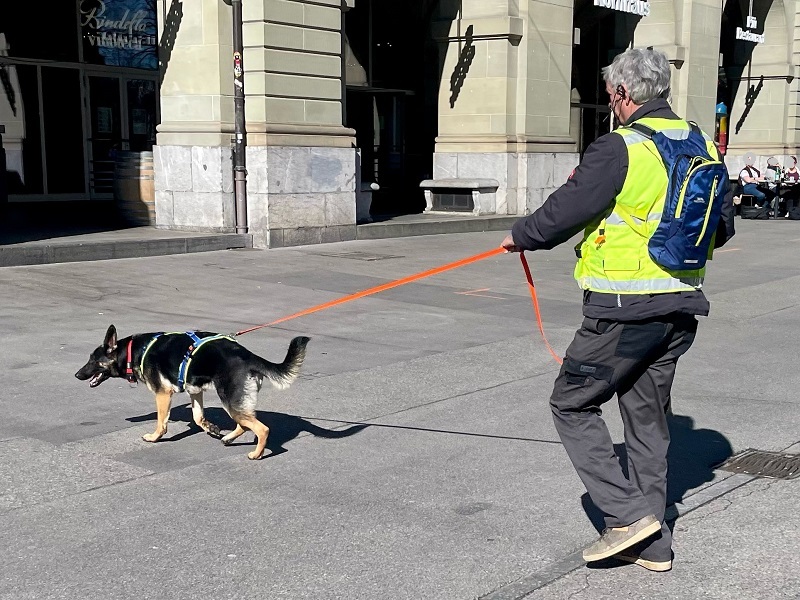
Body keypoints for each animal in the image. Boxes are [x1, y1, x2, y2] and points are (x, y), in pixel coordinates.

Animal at [76, 324, 310, 460]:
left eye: (94, 360)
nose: (77, 375)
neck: (135, 350)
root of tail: (248, 355)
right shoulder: (195, 391)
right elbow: (198, 417)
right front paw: (210, 427)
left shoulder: (163, 394)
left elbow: (161, 421)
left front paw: (154, 437)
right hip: (234, 401)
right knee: (245, 423)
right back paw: (228, 438)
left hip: (229, 399)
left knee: (262, 429)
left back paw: (256, 454)